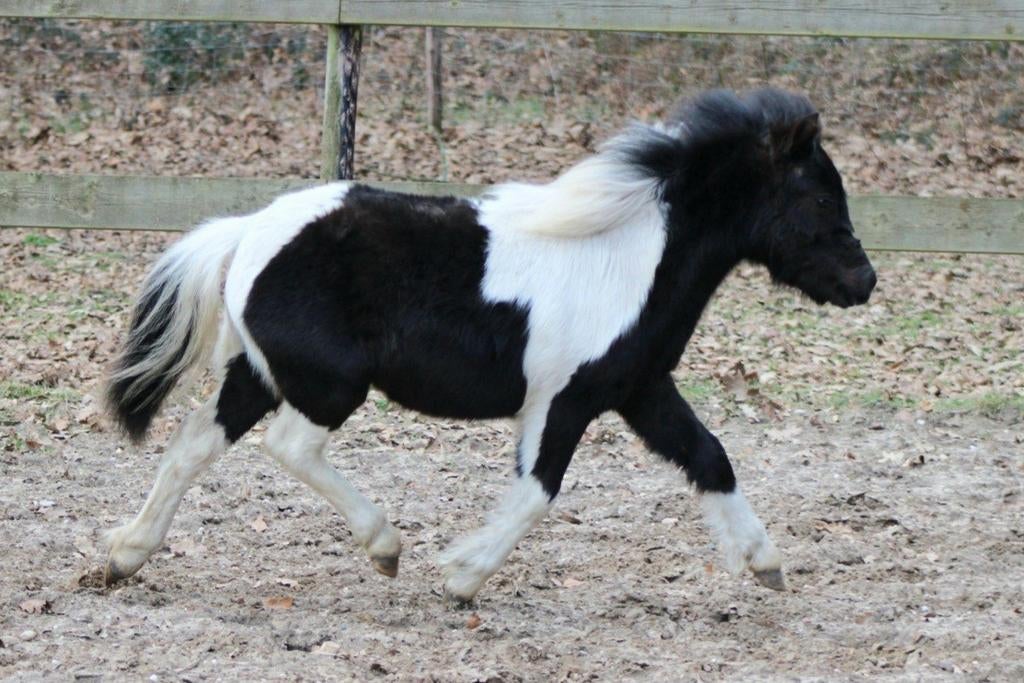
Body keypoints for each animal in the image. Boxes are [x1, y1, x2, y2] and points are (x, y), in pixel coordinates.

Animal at [102, 87, 876, 603]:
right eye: (817, 197)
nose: (863, 281)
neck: (629, 258)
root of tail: (245, 232)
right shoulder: (562, 400)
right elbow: (538, 490)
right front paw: (461, 575)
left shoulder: (640, 390)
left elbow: (709, 456)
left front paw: (766, 562)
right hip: (328, 384)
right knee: (289, 446)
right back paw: (386, 547)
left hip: (258, 374)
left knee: (194, 444)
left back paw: (123, 555)